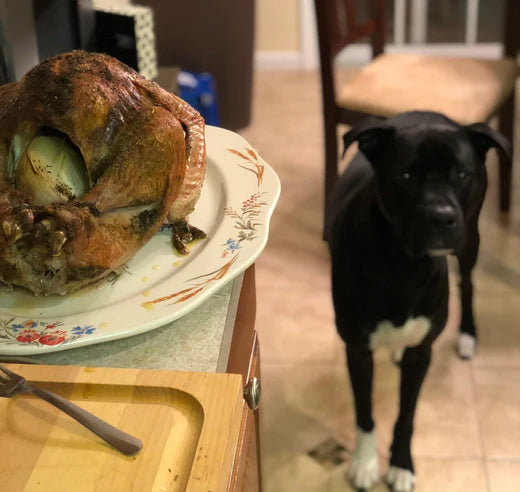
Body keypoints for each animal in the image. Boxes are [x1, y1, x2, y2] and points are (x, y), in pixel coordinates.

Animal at [328, 112, 510, 492]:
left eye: (461, 173)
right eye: (406, 176)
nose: (441, 217)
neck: (403, 264)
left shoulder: (422, 353)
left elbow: (406, 415)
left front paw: (400, 464)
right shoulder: (357, 350)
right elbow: (364, 412)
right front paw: (365, 462)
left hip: (470, 239)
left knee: (467, 284)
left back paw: (467, 335)